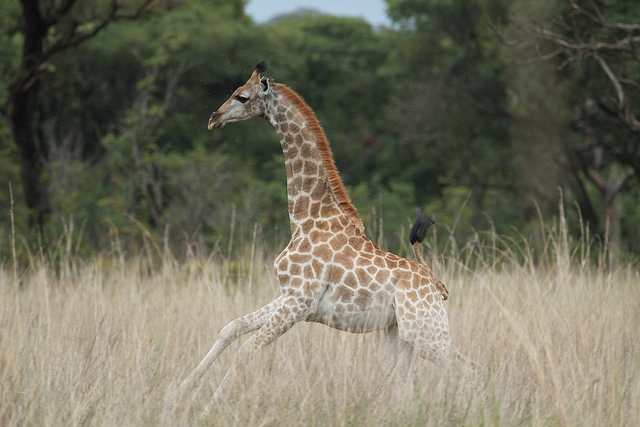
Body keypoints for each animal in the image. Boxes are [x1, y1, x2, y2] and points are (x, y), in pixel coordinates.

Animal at [178, 61, 472, 412]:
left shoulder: (300, 301)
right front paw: (178, 392)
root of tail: (438, 288)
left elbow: (246, 351)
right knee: (404, 381)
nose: (214, 118)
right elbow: (231, 327)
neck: (306, 216)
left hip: (426, 332)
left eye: (241, 96)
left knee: (468, 366)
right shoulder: (289, 295)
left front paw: (208, 408)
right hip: (398, 334)